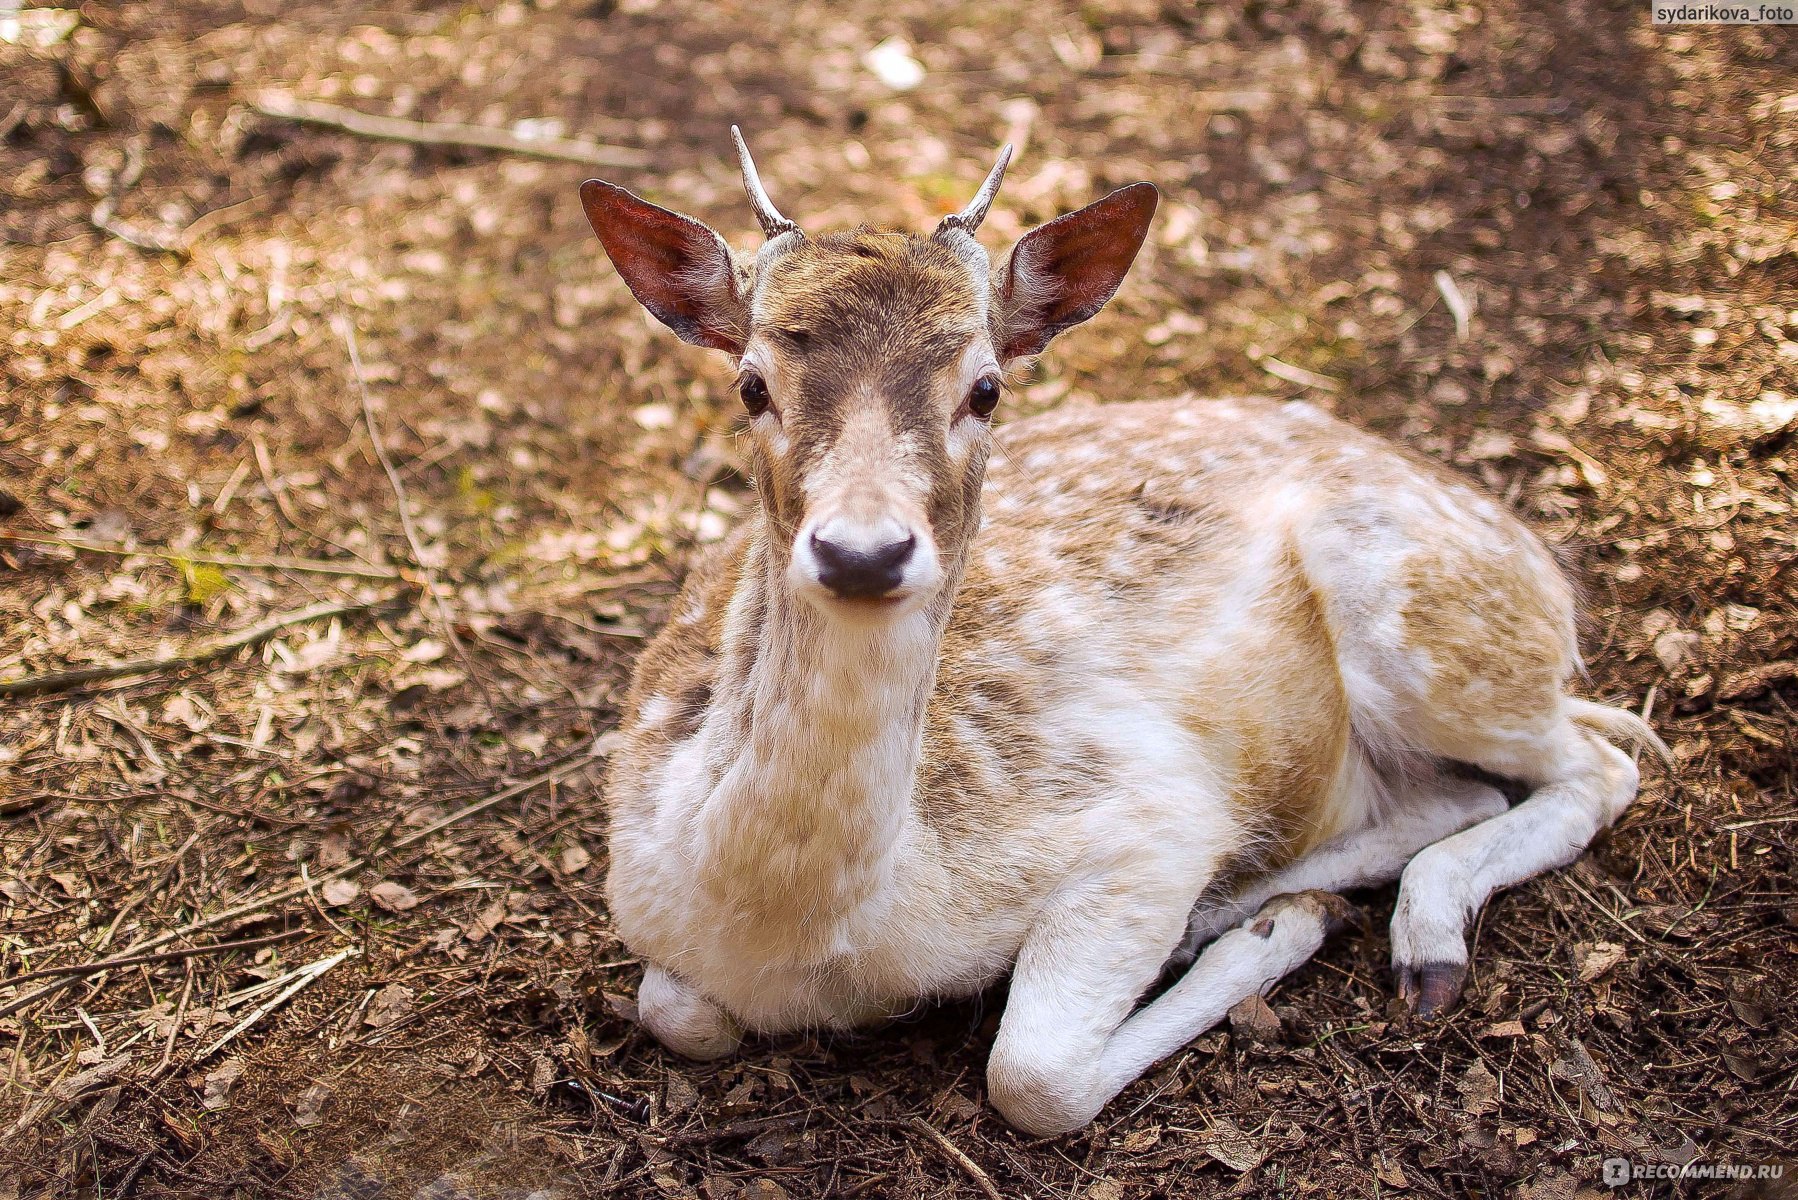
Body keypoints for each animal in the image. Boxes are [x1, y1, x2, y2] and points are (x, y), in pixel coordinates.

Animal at [578, 131, 1668, 1137]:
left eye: (986, 388)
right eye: (752, 384)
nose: (861, 551)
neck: (811, 931)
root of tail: (1540, 563)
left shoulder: (1145, 819)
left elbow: (1033, 1078)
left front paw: (1267, 938)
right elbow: (669, 1005)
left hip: (1432, 626)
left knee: (1599, 761)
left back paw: (1386, 939)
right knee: (1462, 791)